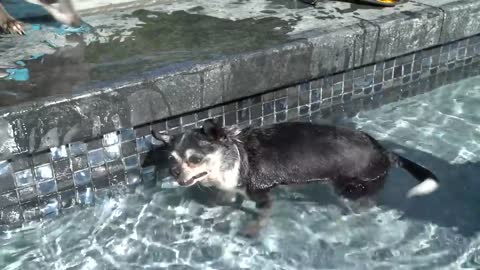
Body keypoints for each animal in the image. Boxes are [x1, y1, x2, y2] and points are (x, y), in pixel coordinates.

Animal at [153, 119, 438, 237]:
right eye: (172, 159)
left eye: (194, 159)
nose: (174, 173)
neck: (236, 156)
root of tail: (384, 151)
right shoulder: (228, 188)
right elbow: (224, 198)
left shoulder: (263, 196)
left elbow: (260, 216)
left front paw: (251, 231)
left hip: (349, 187)